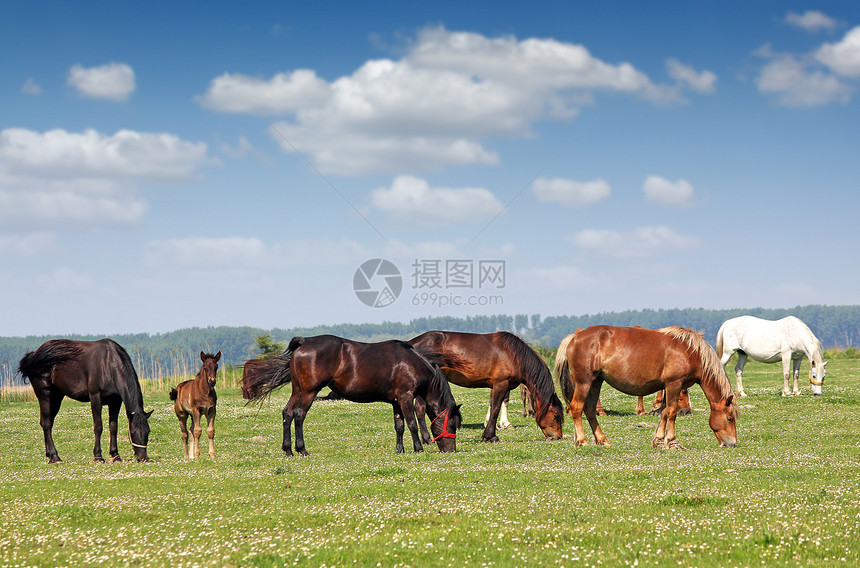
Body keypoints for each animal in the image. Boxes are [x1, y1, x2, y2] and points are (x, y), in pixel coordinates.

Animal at [18, 340, 153, 464]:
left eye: (148, 431)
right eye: (133, 432)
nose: (143, 458)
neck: (109, 364)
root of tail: (34, 354)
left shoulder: (115, 401)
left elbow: (113, 427)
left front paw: (115, 456)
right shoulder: (95, 398)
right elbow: (98, 427)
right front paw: (98, 456)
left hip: (56, 398)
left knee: (46, 423)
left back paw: (49, 455)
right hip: (45, 395)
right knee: (47, 424)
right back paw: (55, 457)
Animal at [242, 336, 464, 454]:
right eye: (452, 425)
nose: (451, 450)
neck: (412, 363)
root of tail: (305, 342)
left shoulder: (395, 402)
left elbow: (399, 426)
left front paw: (399, 450)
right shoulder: (405, 397)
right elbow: (412, 424)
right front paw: (418, 448)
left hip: (298, 390)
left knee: (287, 414)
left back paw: (288, 449)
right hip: (308, 392)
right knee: (298, 415)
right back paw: (301, 449)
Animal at [410, 328, 564, 444]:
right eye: (556, 415)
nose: (558, 437)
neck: (513, 355)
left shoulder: (497, 386)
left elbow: (493, 405)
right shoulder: (501, 384)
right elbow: (495, 408)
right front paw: (490, 436)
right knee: (419, 409)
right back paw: (427, 439)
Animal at [556, 326, 740, 450]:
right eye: (730, 418)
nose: (731, 443)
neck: (691, 352)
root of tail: (575, 336)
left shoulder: (669, 386)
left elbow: (664, 411)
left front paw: (659, 438)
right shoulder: (674, 383)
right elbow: (672, 412)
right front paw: (672, 441)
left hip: (596, 382)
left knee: (589, 410)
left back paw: (602, 440)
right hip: (585, 382)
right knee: (577, 408)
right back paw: (582, 440)